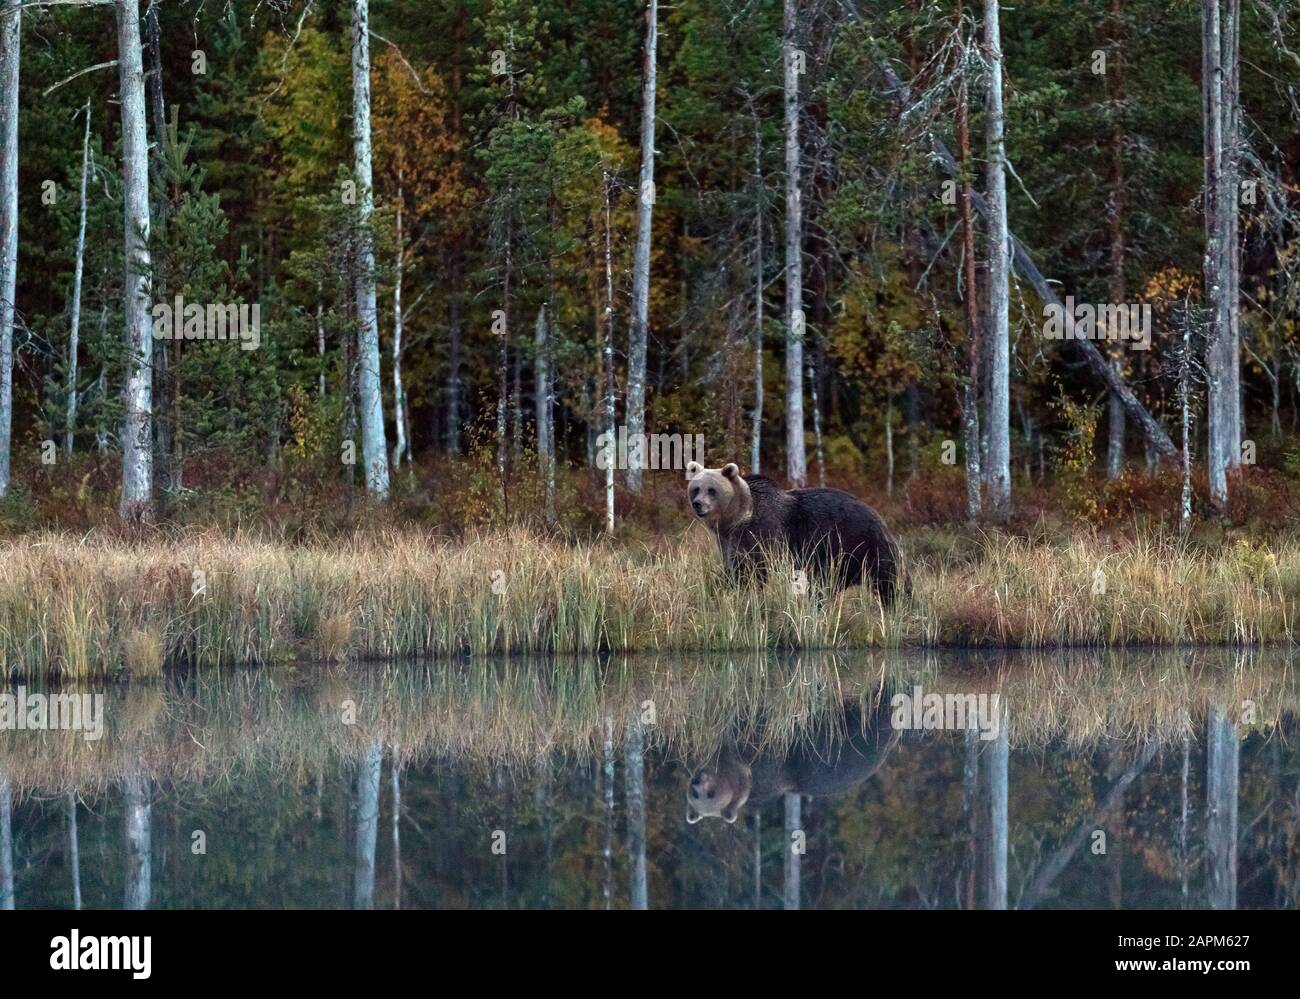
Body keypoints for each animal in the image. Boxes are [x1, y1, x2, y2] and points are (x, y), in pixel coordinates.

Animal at [686, 457, 899, 600]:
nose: (697, 504)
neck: (736, 520)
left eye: (711, 490)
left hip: (861, 544)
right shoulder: (729, 541)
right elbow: (734, 570)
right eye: (696, 489)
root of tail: (878, 515)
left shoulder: (765, 533)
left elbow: (758, 570)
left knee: (888, 582)